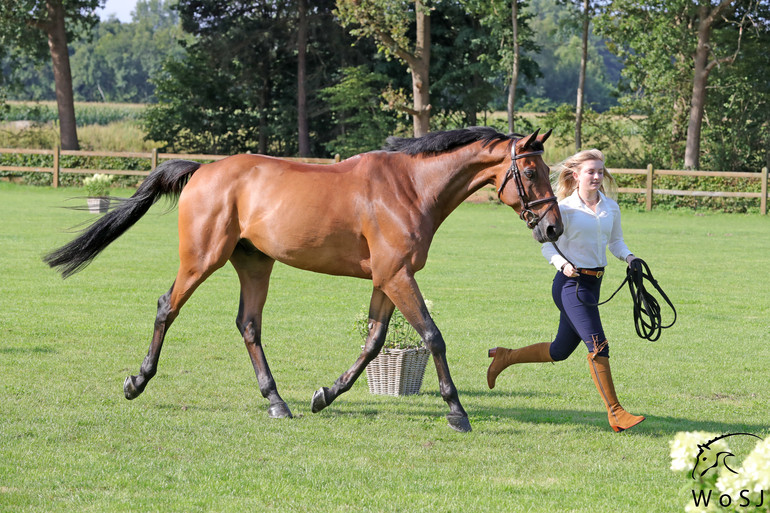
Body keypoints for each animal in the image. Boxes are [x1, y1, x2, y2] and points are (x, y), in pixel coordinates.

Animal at [45, 126, 560, 430]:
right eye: (532, 171)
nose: (553, 227)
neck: (410, 187)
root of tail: (203, 170)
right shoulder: (397, 276)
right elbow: (433, 336)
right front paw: (457, 411)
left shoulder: (388, 278)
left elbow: (373, 342)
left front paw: (324, 395)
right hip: (201, 259)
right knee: (167, 307)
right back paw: (137, 381)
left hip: (255, 264)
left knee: (249, 326)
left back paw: (277, 401)